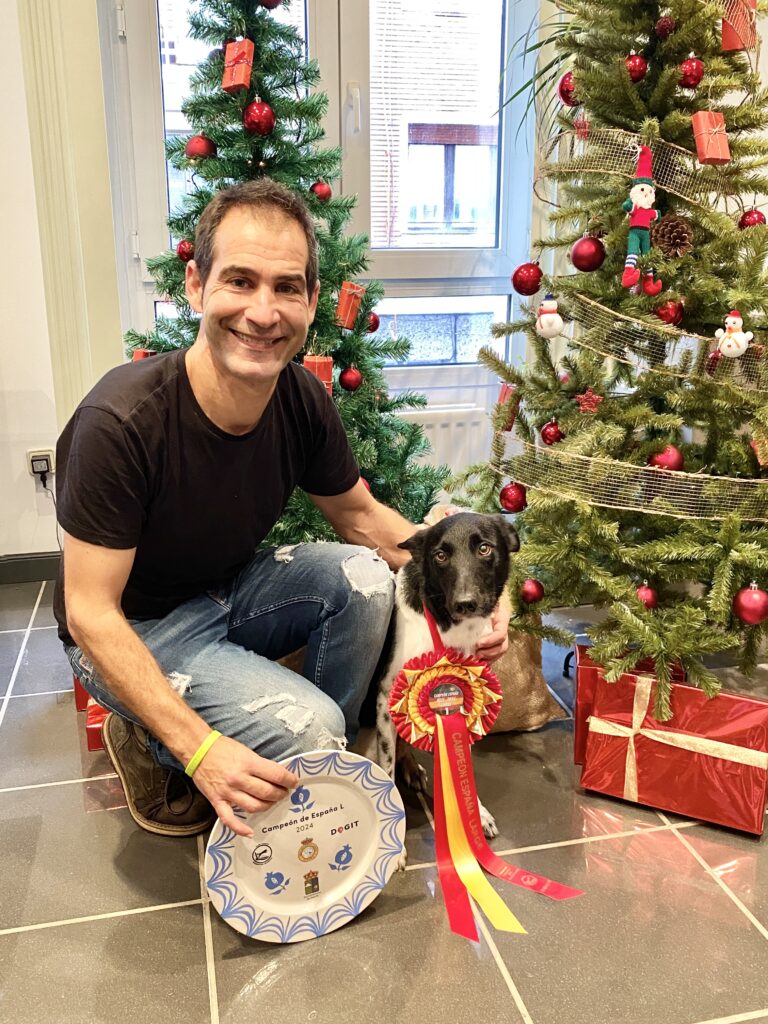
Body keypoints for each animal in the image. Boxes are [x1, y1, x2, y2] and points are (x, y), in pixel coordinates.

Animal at [358, 509, 520, 839]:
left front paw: (475, 813)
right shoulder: (385, 699)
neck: (448, 627)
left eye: (484, 548)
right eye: (440, 555)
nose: (465, 603)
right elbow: (386, 767)